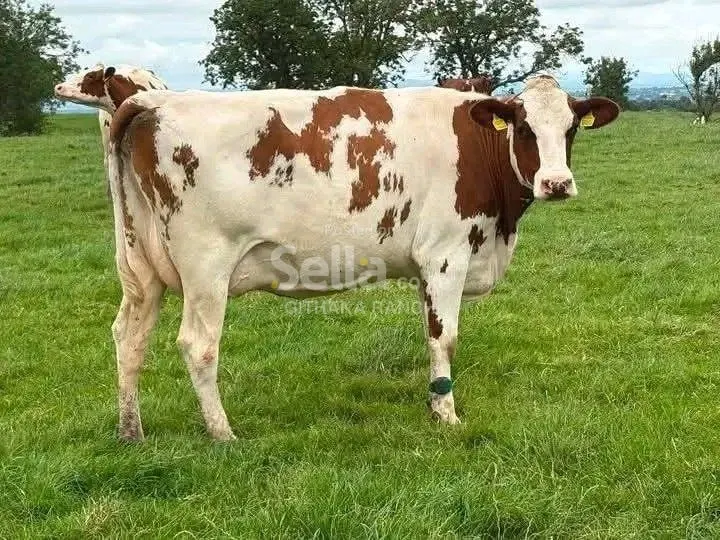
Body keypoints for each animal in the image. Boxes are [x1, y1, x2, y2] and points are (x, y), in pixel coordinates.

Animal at [105, 75, 619, 441]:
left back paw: (132, 431)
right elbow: (446, 339)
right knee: (198, 345)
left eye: (571, 129)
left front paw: (433, 404)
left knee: (130, 337)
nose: (556, 183)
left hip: (141, 264)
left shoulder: (425, 268)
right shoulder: (445, 254)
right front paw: (447, 415)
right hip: (206, 266)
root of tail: (153, 102)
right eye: (524, 127)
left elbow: (428, 336)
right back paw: (222, 433)